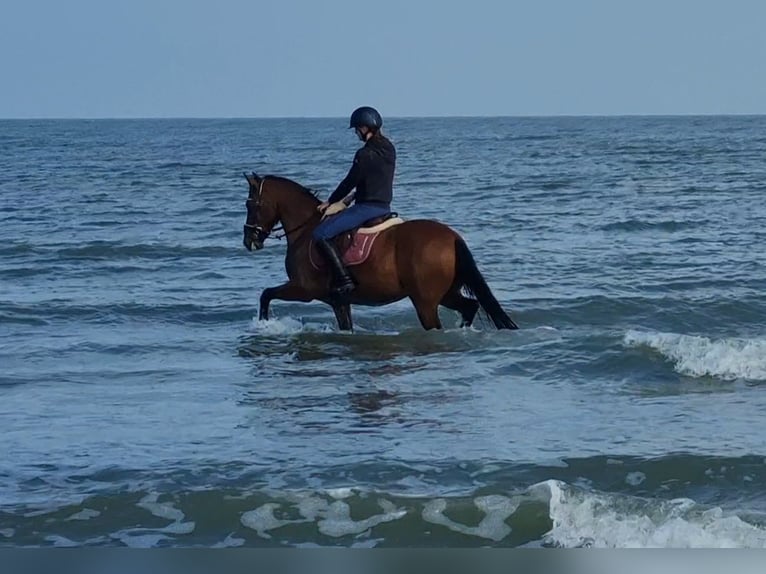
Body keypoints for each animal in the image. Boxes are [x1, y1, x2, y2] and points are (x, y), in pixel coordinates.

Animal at [241, 172, 518, 332]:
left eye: (250, 204)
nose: (249, 241)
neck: (306, 229)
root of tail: (451, 237)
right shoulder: (339, 302)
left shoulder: (304, 289)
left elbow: (266, 295)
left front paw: (264, 324)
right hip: (447, 293)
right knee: (470, 307)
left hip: (426, 302)